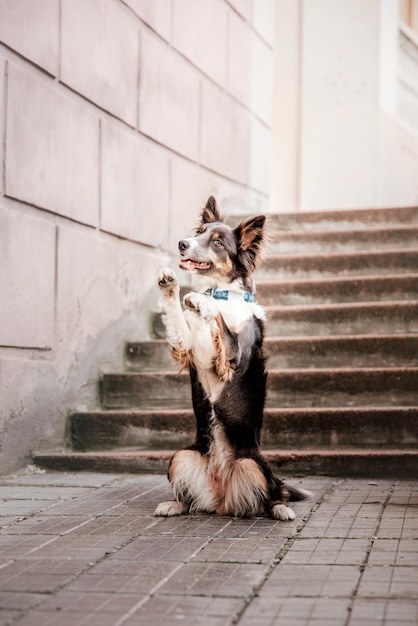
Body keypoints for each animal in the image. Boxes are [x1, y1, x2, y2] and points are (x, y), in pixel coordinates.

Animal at [154, 195, 310, 516]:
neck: (220, 290)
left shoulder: (233, 355)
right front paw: (170, 284)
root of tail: (222, 498)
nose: (182, 243)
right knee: (192, 501)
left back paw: (281, 510)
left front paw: (203, 302)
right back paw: (173, 504)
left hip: (252, 463)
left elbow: (221, 320)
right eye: (199, 232)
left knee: (271, 494)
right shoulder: (185, 346)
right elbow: (177, 314)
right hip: (182, 457)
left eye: (217, 242)